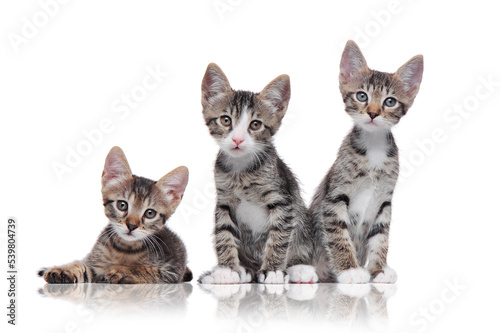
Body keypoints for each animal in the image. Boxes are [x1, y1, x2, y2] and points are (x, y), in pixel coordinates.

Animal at [38, 147, 191, 284]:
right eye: (122, 205)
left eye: (150, 213)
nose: (131, 225)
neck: (126, 248)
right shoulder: (95, 264)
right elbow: (83, 266)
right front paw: (64, 270)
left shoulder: (171, 271)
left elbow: (147, 270)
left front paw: (123, 270)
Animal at [197, 63, 314, 284]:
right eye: (226, 120)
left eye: (255, 124)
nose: (237, 140)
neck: (241, 172)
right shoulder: (224, 201)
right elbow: (223, 233)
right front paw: (227, 270)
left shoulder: (282, 199)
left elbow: (279, 235)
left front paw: (273, 271)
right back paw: (243, 270)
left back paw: (299, 269)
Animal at [310, 39, 424, 282]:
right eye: (362, 96)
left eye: (390, 101)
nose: (372, 113)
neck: (374, 148)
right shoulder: (335, 197)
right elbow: (338, 235)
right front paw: (349, 270)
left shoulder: (384, 201)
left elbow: (381, 236)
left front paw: (378, 270)